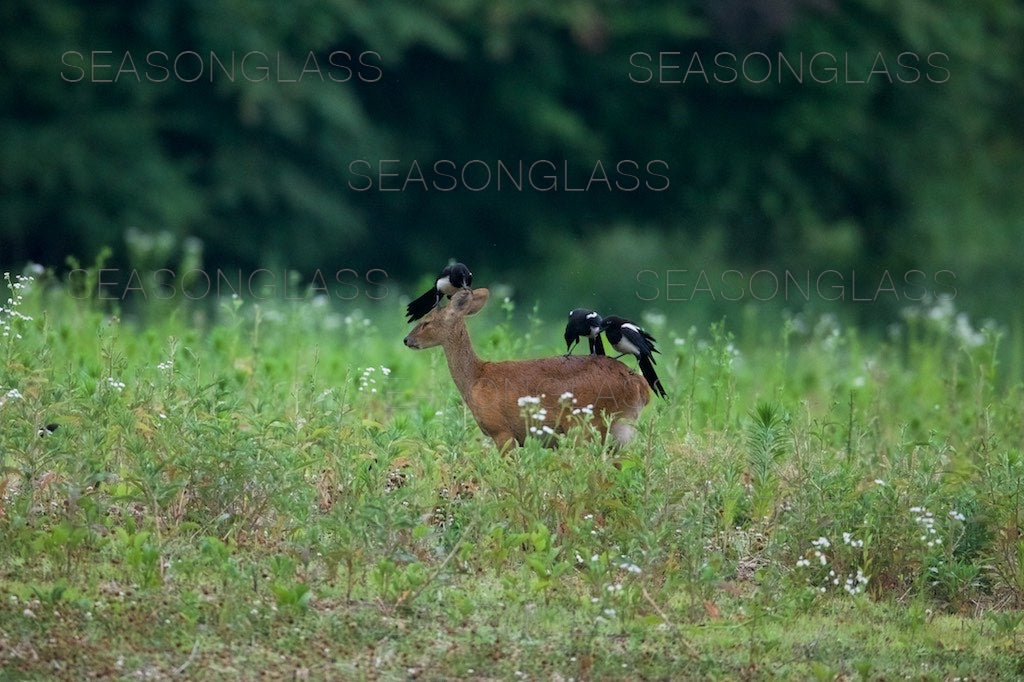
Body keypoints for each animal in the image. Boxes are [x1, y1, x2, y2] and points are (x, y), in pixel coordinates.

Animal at [401, 284, 647, 448]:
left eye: (426, 322)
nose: (406, 340)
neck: (476, 378)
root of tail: (640, 385)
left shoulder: (501, 431)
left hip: (588, 425)